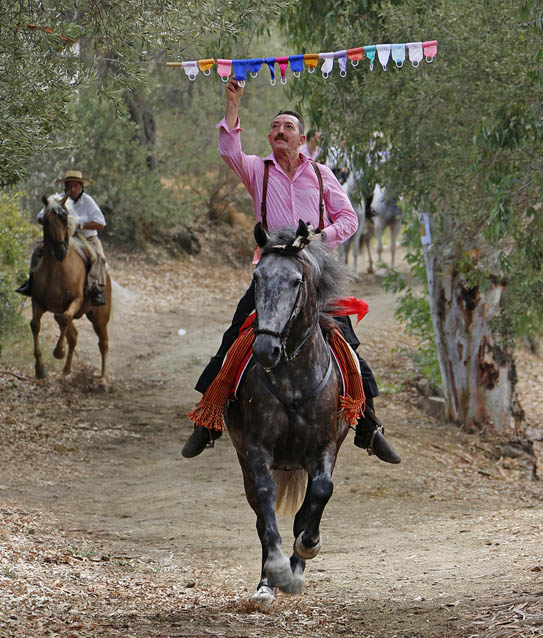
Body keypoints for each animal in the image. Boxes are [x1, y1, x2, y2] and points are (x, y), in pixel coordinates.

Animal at [30, 195, 111, 382]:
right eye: (46, 221)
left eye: (65, 218)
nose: (60, 251)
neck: (56, 269)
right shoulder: (37, 301)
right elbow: (35, 325)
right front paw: (40, 369)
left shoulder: (76, 300)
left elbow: (65, 318)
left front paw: (59, 351)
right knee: (73, 336)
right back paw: (66, 370)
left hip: (100, 317)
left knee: (103, 343)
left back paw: (103, 379)